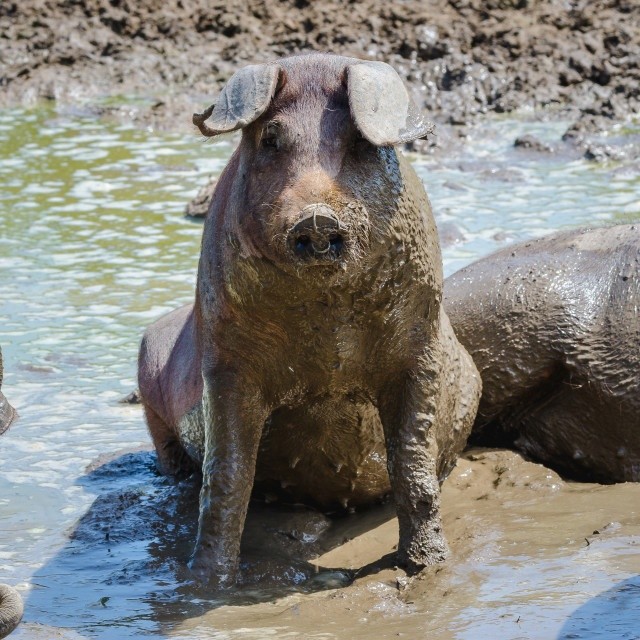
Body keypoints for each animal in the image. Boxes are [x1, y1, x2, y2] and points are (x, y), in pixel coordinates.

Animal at [139, 52, 480, 588]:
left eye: (359, 142)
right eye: (270, 138)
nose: (316, 218)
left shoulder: (419, 348)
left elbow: (413, 463)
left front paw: (428, 567)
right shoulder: (226, 363)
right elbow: (229, 472)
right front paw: (207, 584)